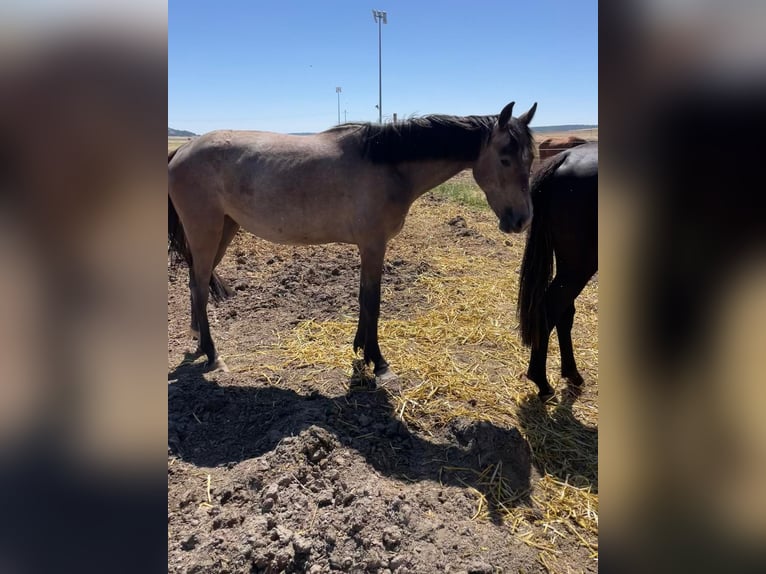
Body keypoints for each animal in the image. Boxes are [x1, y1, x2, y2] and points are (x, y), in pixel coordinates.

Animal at [168, 101, 538, 377]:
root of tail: (183, 150)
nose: (522, 220)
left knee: (195, 283)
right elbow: (372, 301)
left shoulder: (368, 247)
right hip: (206, 231)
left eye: (531, 158)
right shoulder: (374, 244)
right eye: (505, 158)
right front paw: (378, 361)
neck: (388, 164)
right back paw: (213, 354)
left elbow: (363, 298)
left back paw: (199, 342)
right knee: (199, 287)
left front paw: (361, 348)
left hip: (223, 230)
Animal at [517, 142, 597, 401]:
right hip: (578, 267)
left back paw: (572, 375)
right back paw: (542, 383)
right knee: (550, 309)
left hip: (567, 263)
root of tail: (566, 157)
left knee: (563, 313)